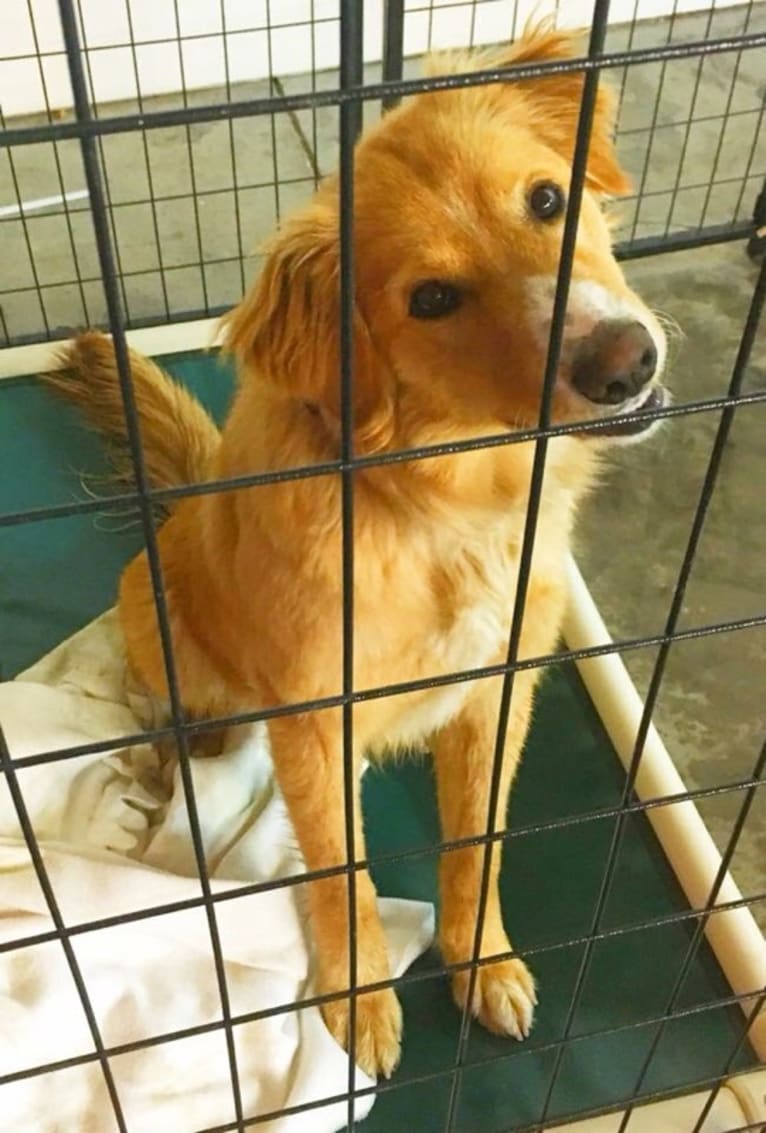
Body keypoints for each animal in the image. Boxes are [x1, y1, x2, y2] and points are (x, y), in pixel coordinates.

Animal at [46, 22, 670, 1074]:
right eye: (432, 297)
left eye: (548, 199)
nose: (625, 363)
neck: (449, 507)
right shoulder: (314, 726)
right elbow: (345, 870)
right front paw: (361, 997)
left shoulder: (500, 691)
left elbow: (478, 840)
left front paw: (480, 957)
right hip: (158, 609)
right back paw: (183, 743)